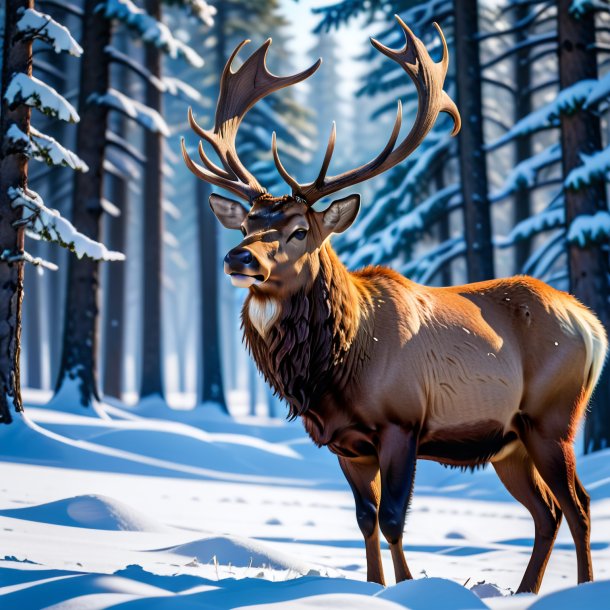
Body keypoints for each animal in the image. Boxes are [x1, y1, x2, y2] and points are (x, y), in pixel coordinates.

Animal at [180, 17, 604, 588]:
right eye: (246, 223)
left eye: (298, 230)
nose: (238, 257)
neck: (335, 366)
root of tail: (592, 323)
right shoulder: (345, 443)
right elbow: (364, 519)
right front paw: (375, 586)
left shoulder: (403, 422)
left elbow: (394, 518)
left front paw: (406, 588)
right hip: (509, 440)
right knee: (547, 511)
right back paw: (525, 591)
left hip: (553, 416)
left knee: (578, 505)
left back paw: (577, 587)